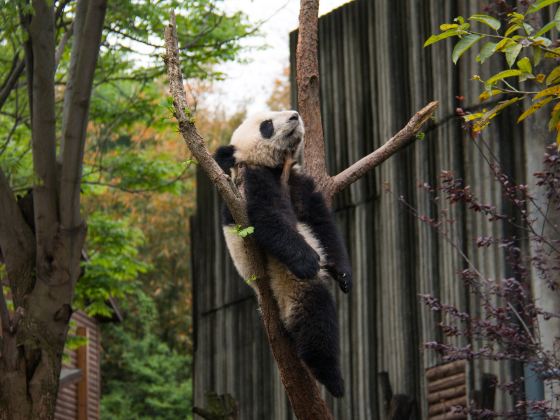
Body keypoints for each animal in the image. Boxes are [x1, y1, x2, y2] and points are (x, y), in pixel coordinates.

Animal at [212, 109, 352, 398]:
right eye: (266, 125)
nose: (295, 115)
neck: (277, 168)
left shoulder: (298, 181)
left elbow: (321, 223)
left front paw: (343, 274)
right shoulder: (250, 183)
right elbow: (269, 218)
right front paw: (309, 261)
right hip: (285, 280)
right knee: (315, 317)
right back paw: (333, 379)